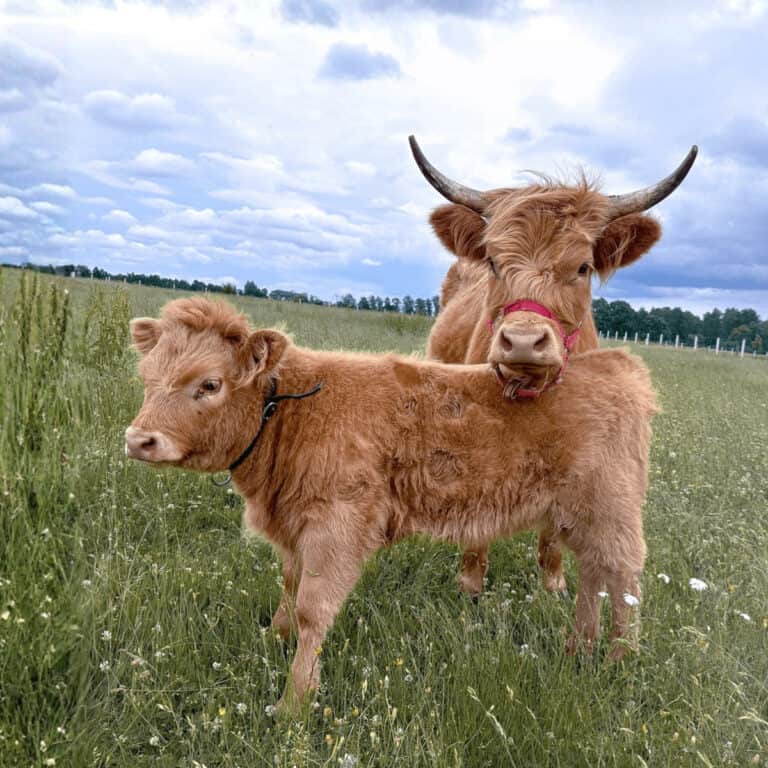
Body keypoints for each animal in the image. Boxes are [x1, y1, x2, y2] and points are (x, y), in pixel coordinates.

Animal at [125, 297, 657, 710]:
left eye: (210, 384)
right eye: (146, 377)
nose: (138, 440)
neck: (291, 414)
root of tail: (615, 362)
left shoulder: (338, 525)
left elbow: (312, 609)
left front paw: (294, 703)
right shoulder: (296, 529)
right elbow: (288, 589)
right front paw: (274, 640)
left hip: (610, 511)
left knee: (624, 579)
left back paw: (619, 660)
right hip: (575, 518)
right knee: (593, 575)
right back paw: (577, 649)